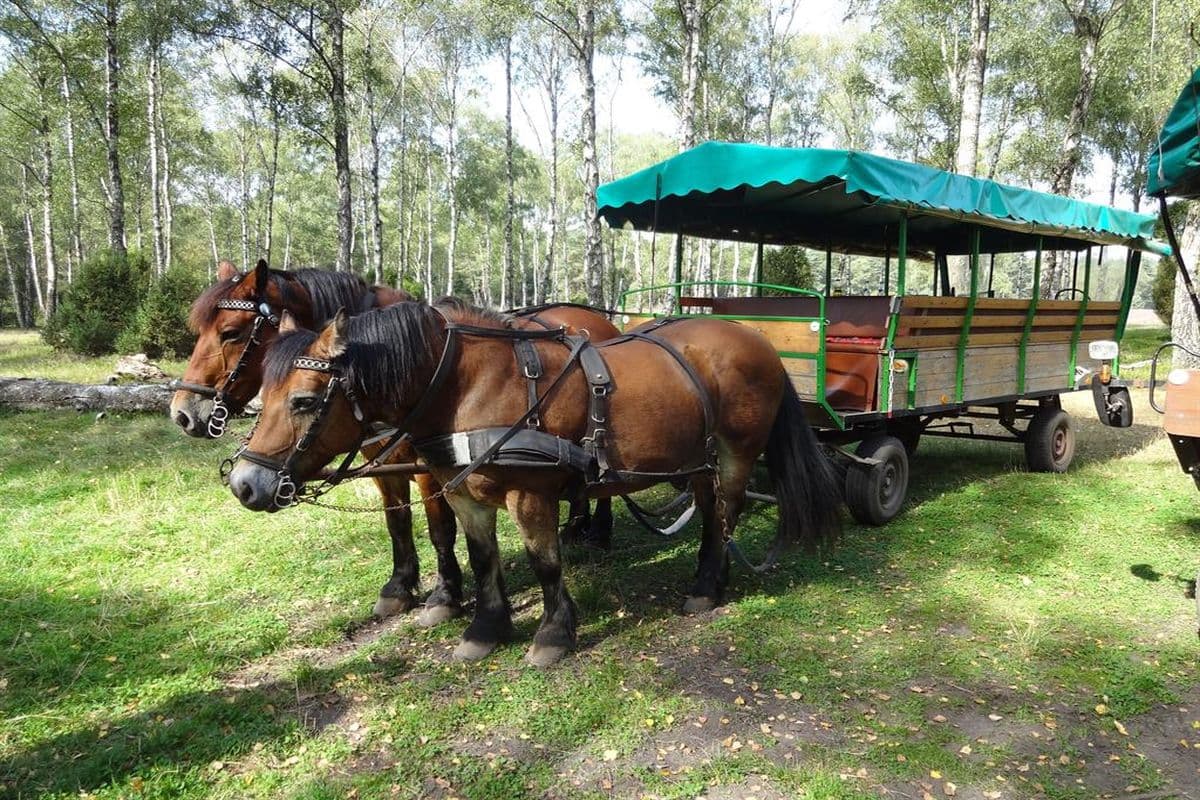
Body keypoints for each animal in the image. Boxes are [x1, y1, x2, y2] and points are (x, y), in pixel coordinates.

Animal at [172, 262, 619, 623]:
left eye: (230, 332)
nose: (183, 413)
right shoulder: (384, 466)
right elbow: (397, 522)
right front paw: (399, 586)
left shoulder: (430, 469)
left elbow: (440, 528)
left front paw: (445, 596)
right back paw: (575, 523)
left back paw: (598, 527)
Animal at [226, 298, 844, 662]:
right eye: (265, 392)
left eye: (304, 401)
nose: (245, 484)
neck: (466, 384)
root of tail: (757, 340)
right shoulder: (462, 490)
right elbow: (482, 558)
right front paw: (485, 628)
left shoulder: (531, 493)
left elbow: (545, 561)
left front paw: (552, 634)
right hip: (697, 458)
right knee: (714, 511)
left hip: (737, 453)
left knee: (725, 514)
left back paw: (708, 588)